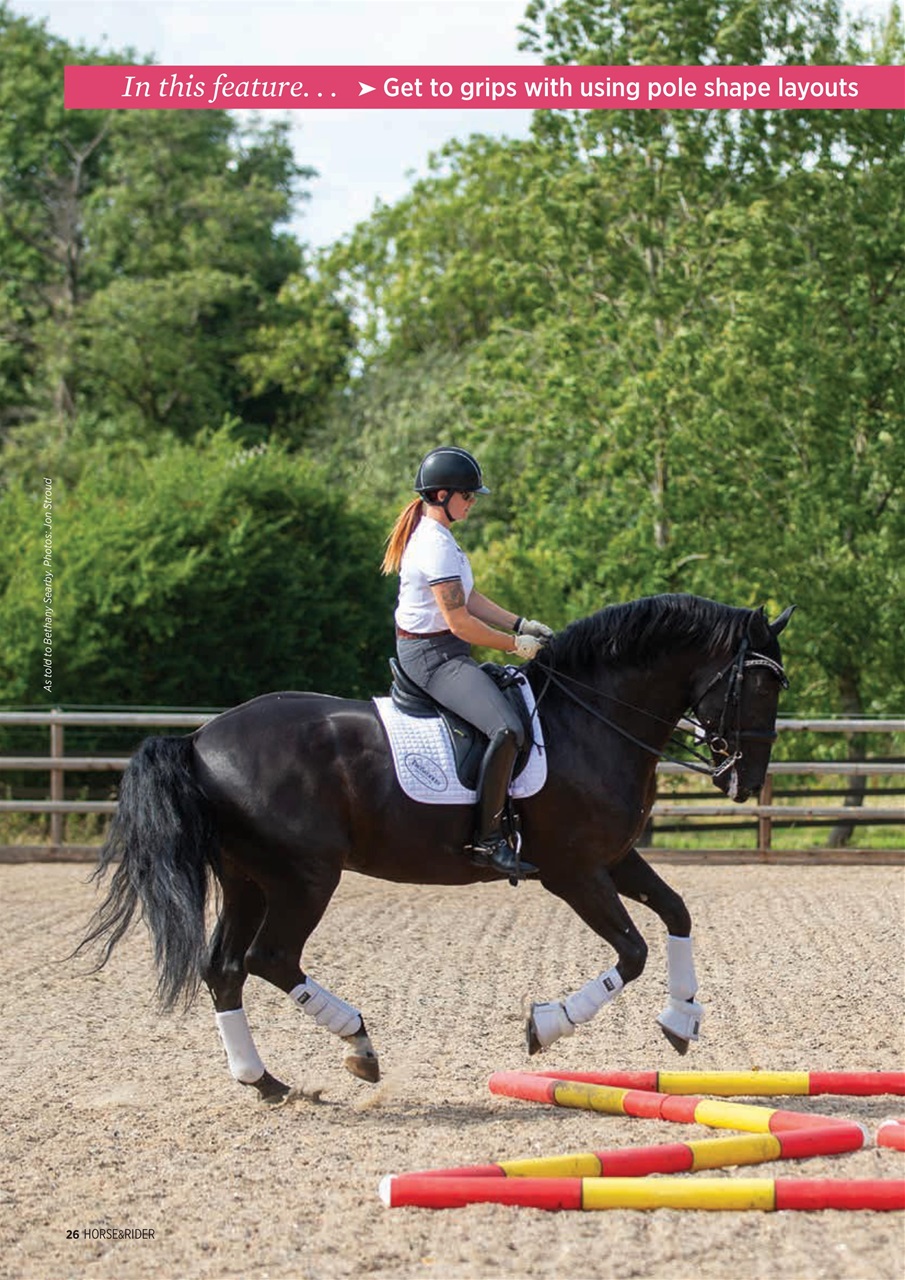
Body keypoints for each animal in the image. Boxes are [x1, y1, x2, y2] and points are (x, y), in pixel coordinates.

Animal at [77, 593, 792, 1103]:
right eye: (762, 686)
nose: (745, 781)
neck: (590, 719)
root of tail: (199, 740)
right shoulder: (574, 871)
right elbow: (633, 951)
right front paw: (546, 1024)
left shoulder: (614, 857)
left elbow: (676, 914)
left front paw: (681, 1021)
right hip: (303, 878)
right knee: (270, 958)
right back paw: (359, 1047)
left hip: (248, 879)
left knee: (224, 968)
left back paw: (266, 1082)